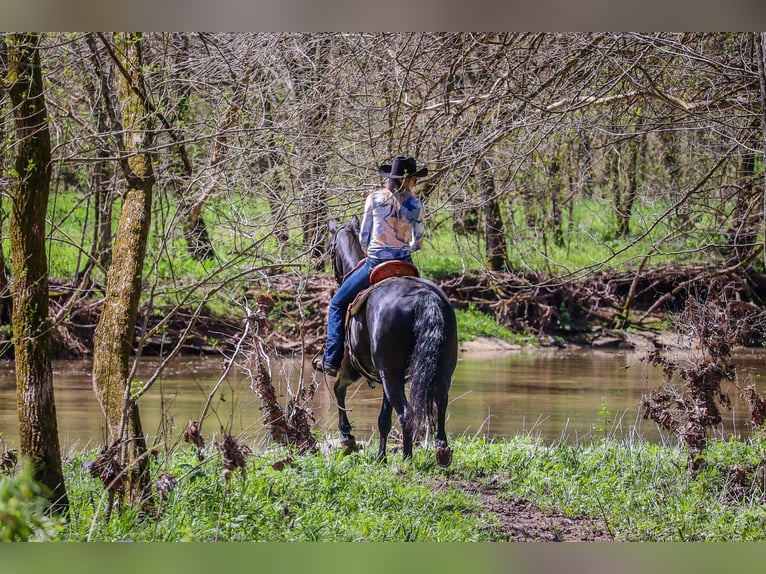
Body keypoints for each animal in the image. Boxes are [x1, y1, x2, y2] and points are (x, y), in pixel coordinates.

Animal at [328, 216, 460, 468]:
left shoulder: (352, 368)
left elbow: (338, 388)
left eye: (331, 250)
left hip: (388, 372)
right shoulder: (384, 376)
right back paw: (441, 452)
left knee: (406, 413)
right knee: (440, 403)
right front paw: (381, 456)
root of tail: (422, 296)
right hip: (440, 369)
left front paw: (347, 437)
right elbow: (383, 419)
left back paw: (407, 459)